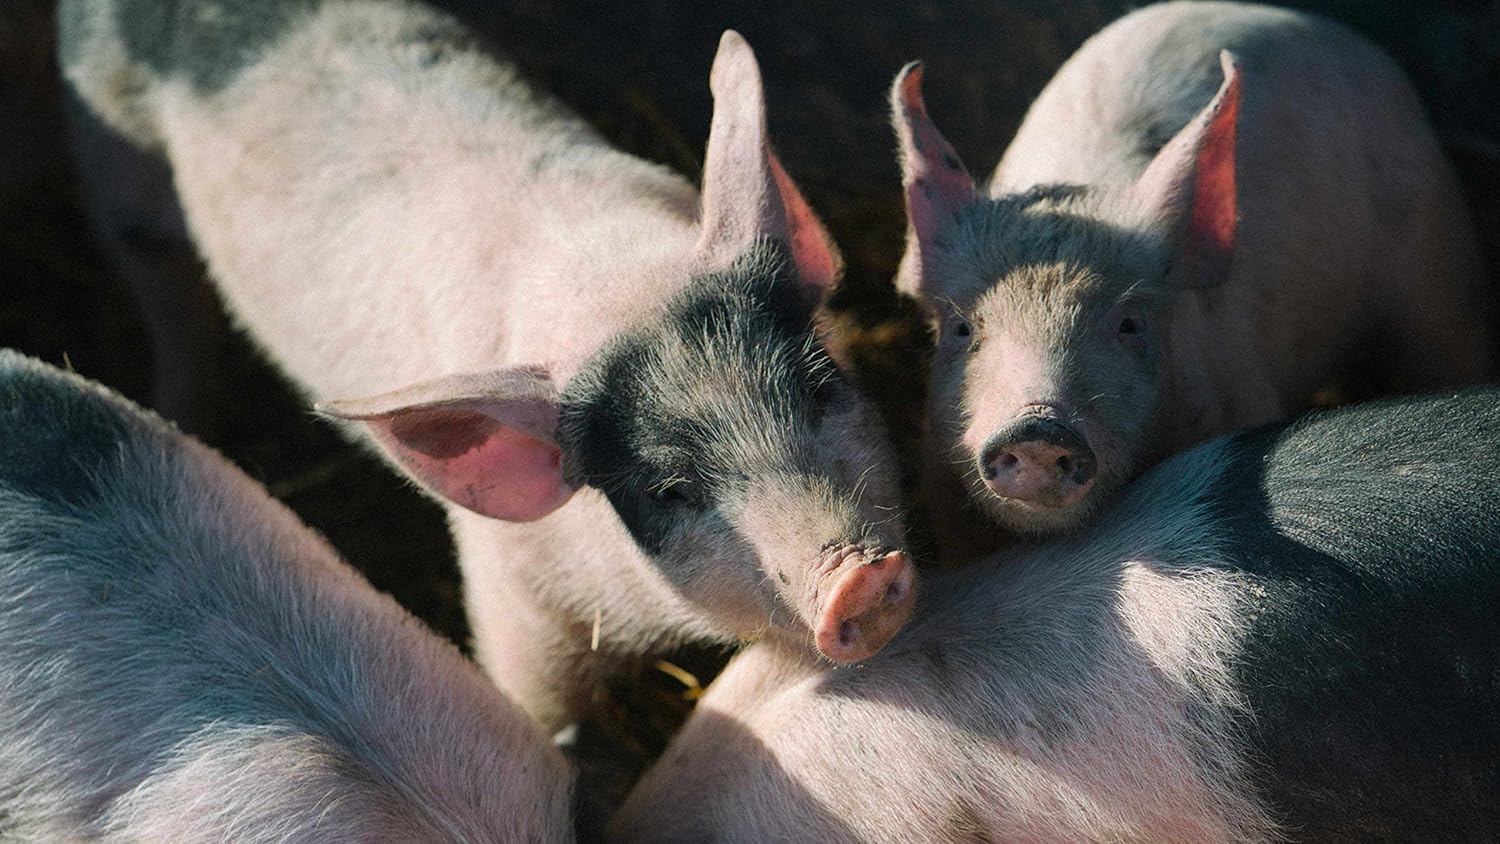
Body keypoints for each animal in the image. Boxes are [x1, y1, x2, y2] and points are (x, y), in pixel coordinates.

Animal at [58, 1, 914, 730]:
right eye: (669, 489)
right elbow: (544, 714)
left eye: (821, 390)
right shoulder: (514, 598)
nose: (857, 578)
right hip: (115, 178)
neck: (611, 285)